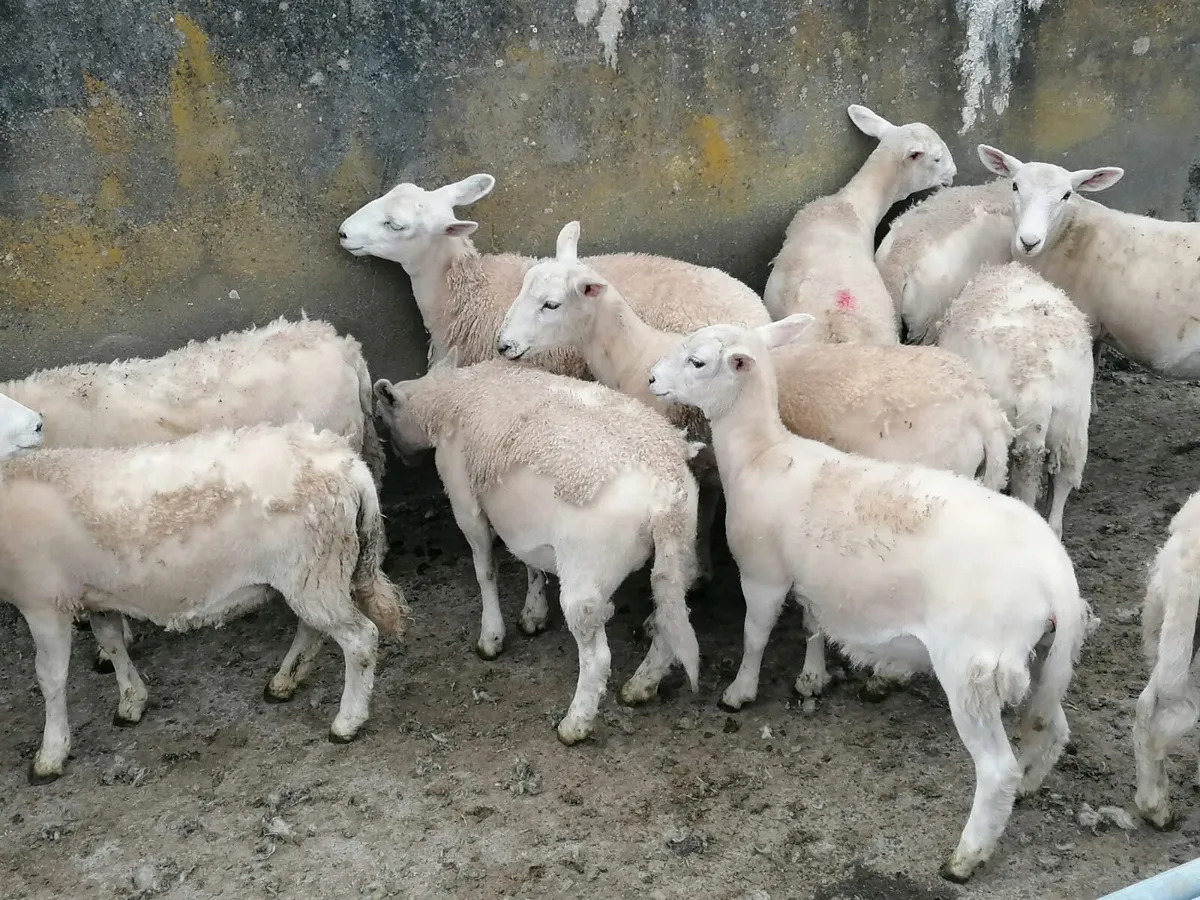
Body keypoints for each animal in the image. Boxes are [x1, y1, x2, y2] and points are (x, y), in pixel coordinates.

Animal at [2, 421, 408, 783]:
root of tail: (349, 464)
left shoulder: (44, 602)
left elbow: (50, 677)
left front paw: (50, 755)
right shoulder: (97, 595)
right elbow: (112, 644)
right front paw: (132, 702)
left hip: (315, 566)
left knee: (360, 638)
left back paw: (347, 722)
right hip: (313, 571)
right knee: (314, 628)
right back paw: (284, 682)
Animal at [373, 354, 701, 746]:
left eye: (383, 417)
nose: (400, 459)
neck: (450, 397)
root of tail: (664, 490)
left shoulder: (466, 504)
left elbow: (485, 570)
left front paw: (491, 636)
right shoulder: (523, 522)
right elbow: (530, 563)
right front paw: (533, 613)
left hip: (587, 570)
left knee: (597, 657)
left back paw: (575, 723)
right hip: (679, 553)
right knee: (670, 620)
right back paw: (641, 685)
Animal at [497, 220, 1014, 701]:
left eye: (551, 305)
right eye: (523, 289)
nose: (503, 346)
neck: (632, 356)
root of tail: (982, 407)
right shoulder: (708, 470)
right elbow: (703, 525)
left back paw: (889, 673)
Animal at [646, 315, 1091, 883]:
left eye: (698, 361)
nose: (651, 379)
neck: (762, 456)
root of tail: (1056, 578)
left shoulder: (764, 574)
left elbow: (755, 634)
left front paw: (739, 692)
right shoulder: (811, 580)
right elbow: (813, 623)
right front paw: (812, 677)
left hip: (972, 664)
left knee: (996, 770)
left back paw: (967, 855)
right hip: (1048, 655)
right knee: (1053, 725)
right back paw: (1032, 787)